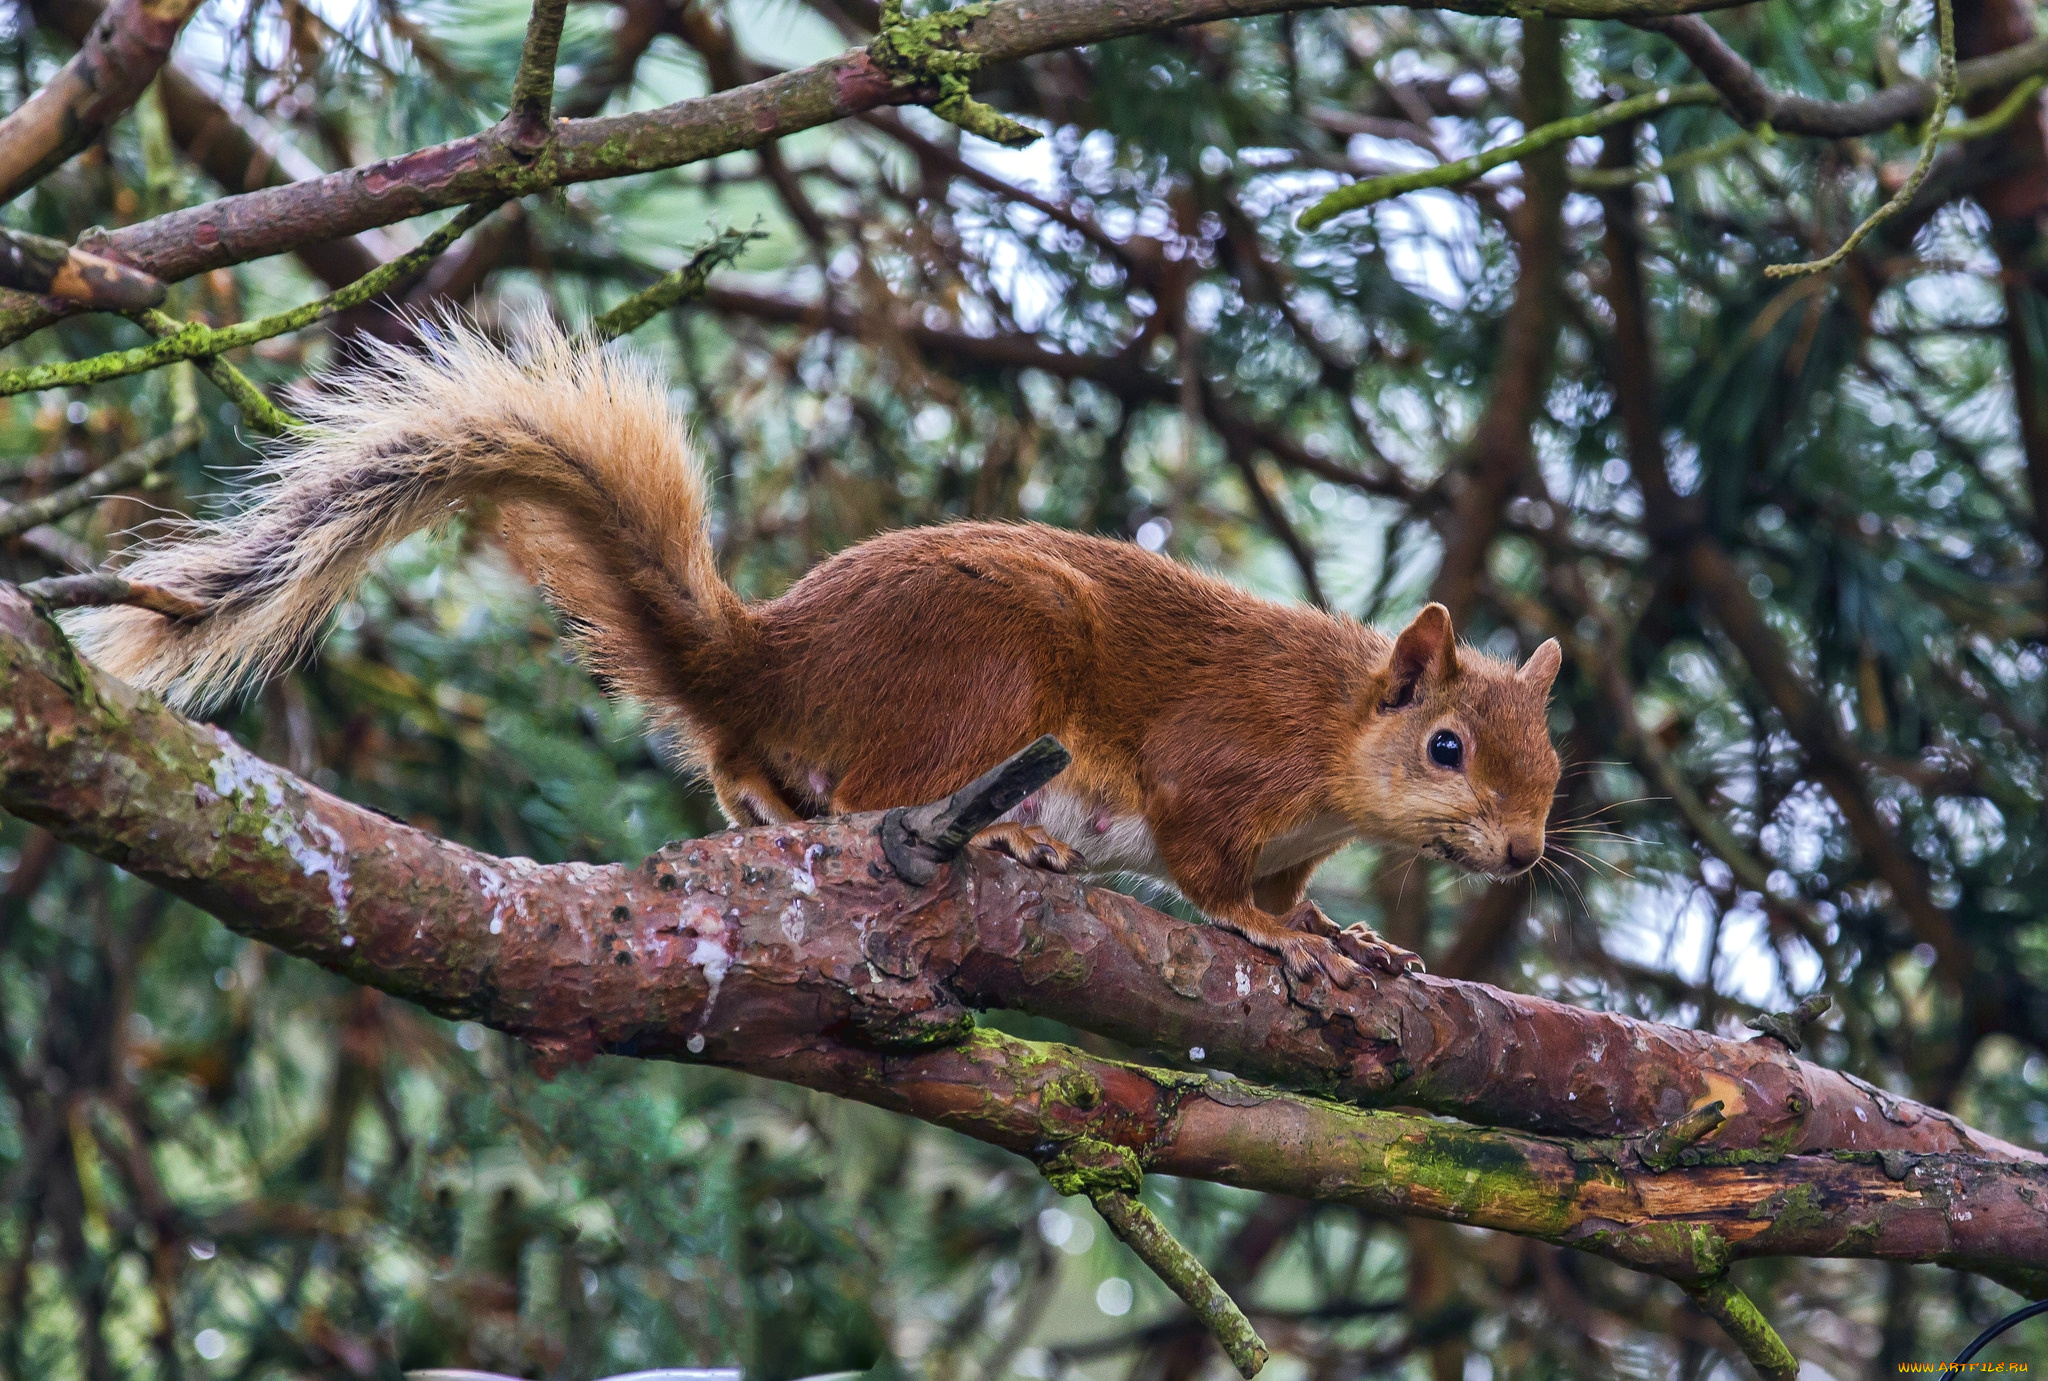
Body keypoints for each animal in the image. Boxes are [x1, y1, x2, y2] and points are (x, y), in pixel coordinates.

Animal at [68, 317, 1564, 983]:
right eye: (1445, 746)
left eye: (1553, 765)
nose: (1522, 854)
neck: (1333, 731)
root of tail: (775, 657)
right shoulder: (1219, 767)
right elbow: (1207, 862)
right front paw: (1271, 933)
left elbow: (1298, 887)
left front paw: (1344, 931)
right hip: (996, 663)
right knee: (869, 792)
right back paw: (1002, 836)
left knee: (755, 778)